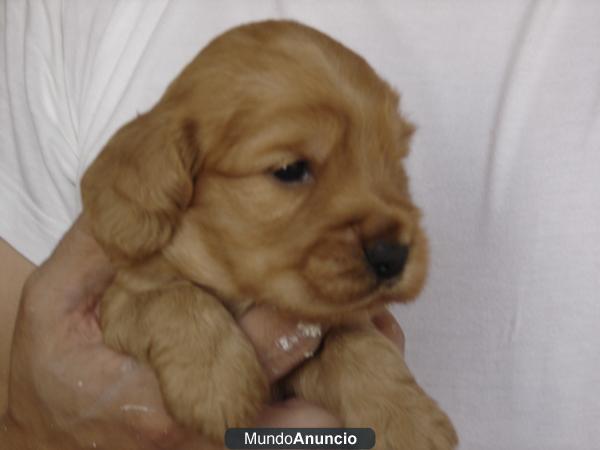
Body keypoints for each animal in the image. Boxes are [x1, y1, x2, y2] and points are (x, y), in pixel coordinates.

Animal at [78, 20, 454, 450]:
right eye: (290, 169)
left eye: (395, 161)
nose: (394, 254)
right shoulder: (121, 298)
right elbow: (173, 297)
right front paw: (215, 384)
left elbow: (358, 342)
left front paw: (409, 419)